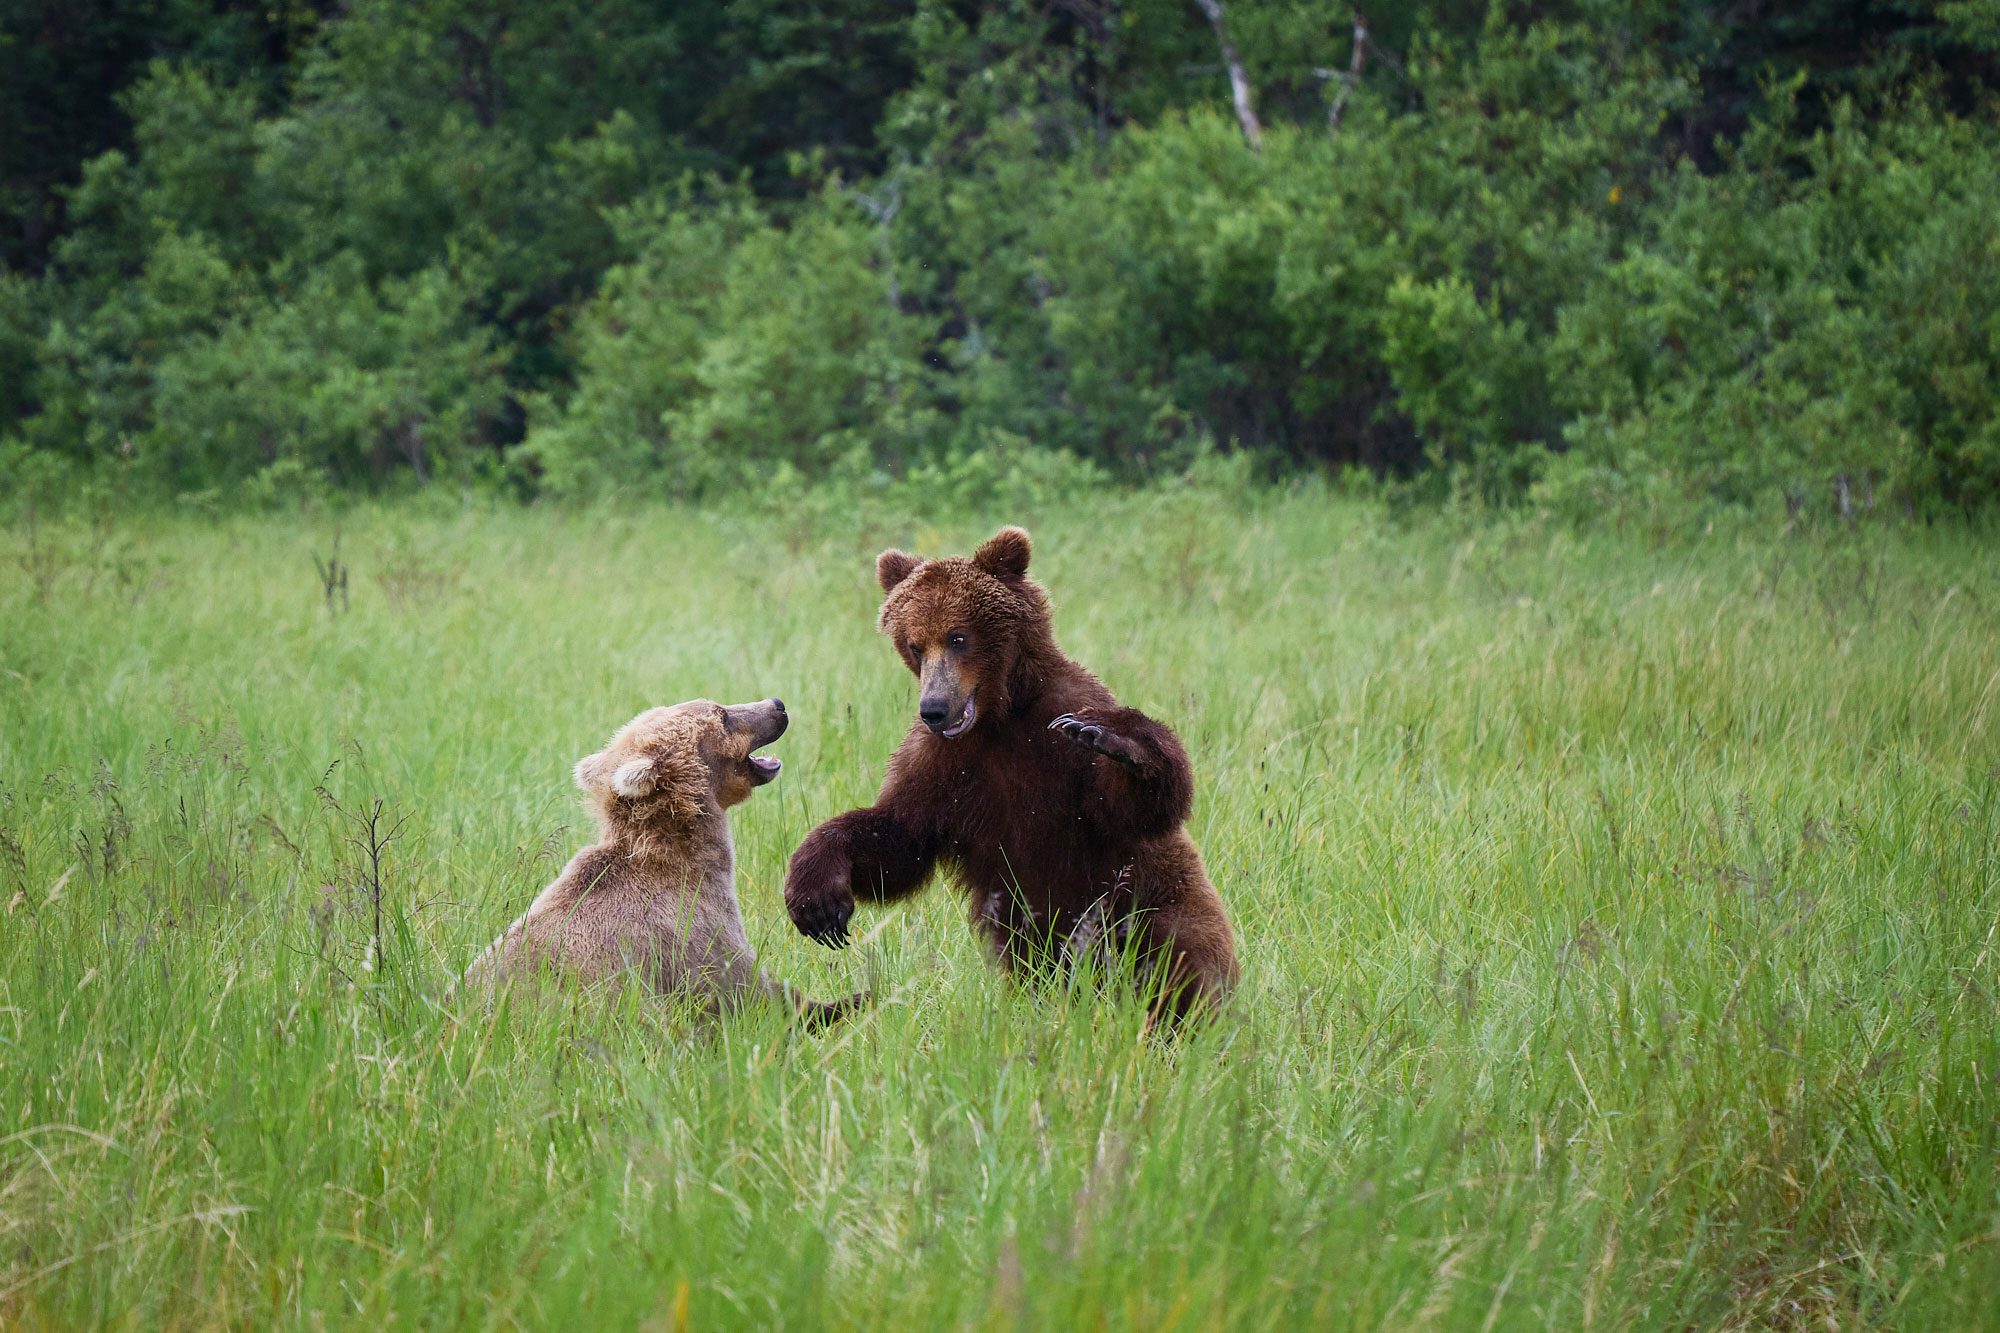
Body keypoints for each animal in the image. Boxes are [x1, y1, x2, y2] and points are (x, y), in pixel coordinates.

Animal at [783, 526, 1238, 1023]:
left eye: (958, 637)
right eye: (914, 644)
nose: (934, 708)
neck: (999, 717)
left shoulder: (1058, 738)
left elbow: (1134, 806)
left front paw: (1116, 739)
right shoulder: (942, 767)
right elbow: (897, 839)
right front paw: (817, 901)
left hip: (1150, 904)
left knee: (1174, 959)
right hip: (1027, 934)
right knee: (1036, 971)